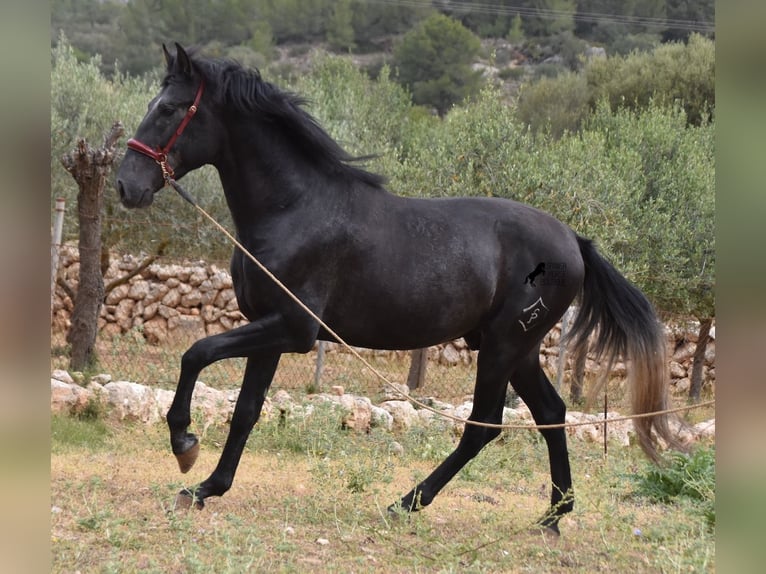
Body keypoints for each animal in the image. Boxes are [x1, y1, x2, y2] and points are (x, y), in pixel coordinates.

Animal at [114, 44, 680, 536]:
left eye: (169, 108)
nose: (126, 185)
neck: (294, 209)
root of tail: (574, 241)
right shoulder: (269, 330)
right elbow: (246, 410)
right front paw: (206, 487)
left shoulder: (292, 329)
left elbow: (195, 352)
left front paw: (184, 445)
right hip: (516, 348)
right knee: (551, 415)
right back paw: (552, 517)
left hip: (505, 345)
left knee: (484, 426)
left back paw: (407, 503)